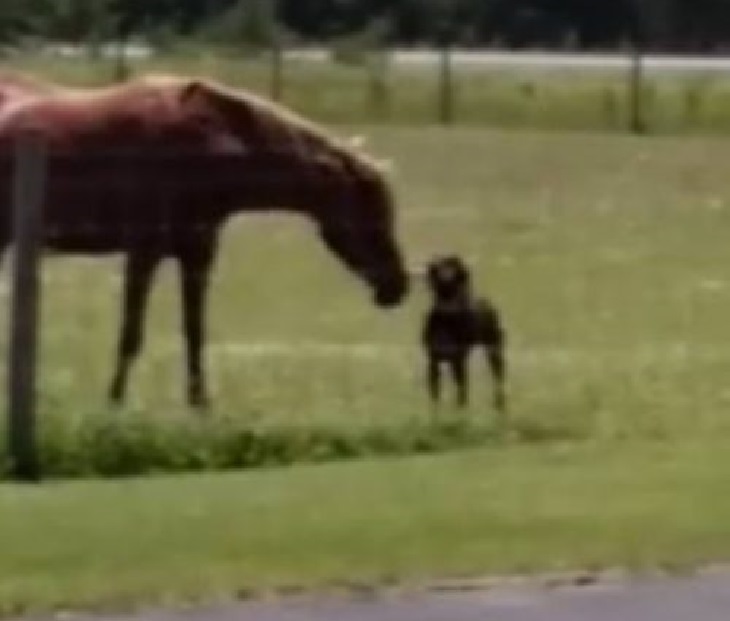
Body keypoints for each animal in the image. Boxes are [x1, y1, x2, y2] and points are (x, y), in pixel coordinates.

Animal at [0, 74, 410, 406]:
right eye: (369, 216)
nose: (398, 285)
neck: (204, 143)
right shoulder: (144, 253)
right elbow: (131, 334)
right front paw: (114, 402)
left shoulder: (198, 255)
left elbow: (194, 331)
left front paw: (199, 405)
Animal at [420, 254, 506, 410]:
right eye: (439, 264)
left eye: (453, 263)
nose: (445, 274)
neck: (447, 314)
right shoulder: (433, 361)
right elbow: (435, 398)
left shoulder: (458, 361)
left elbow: (462, 394)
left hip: (494, 351)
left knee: (498, 380)